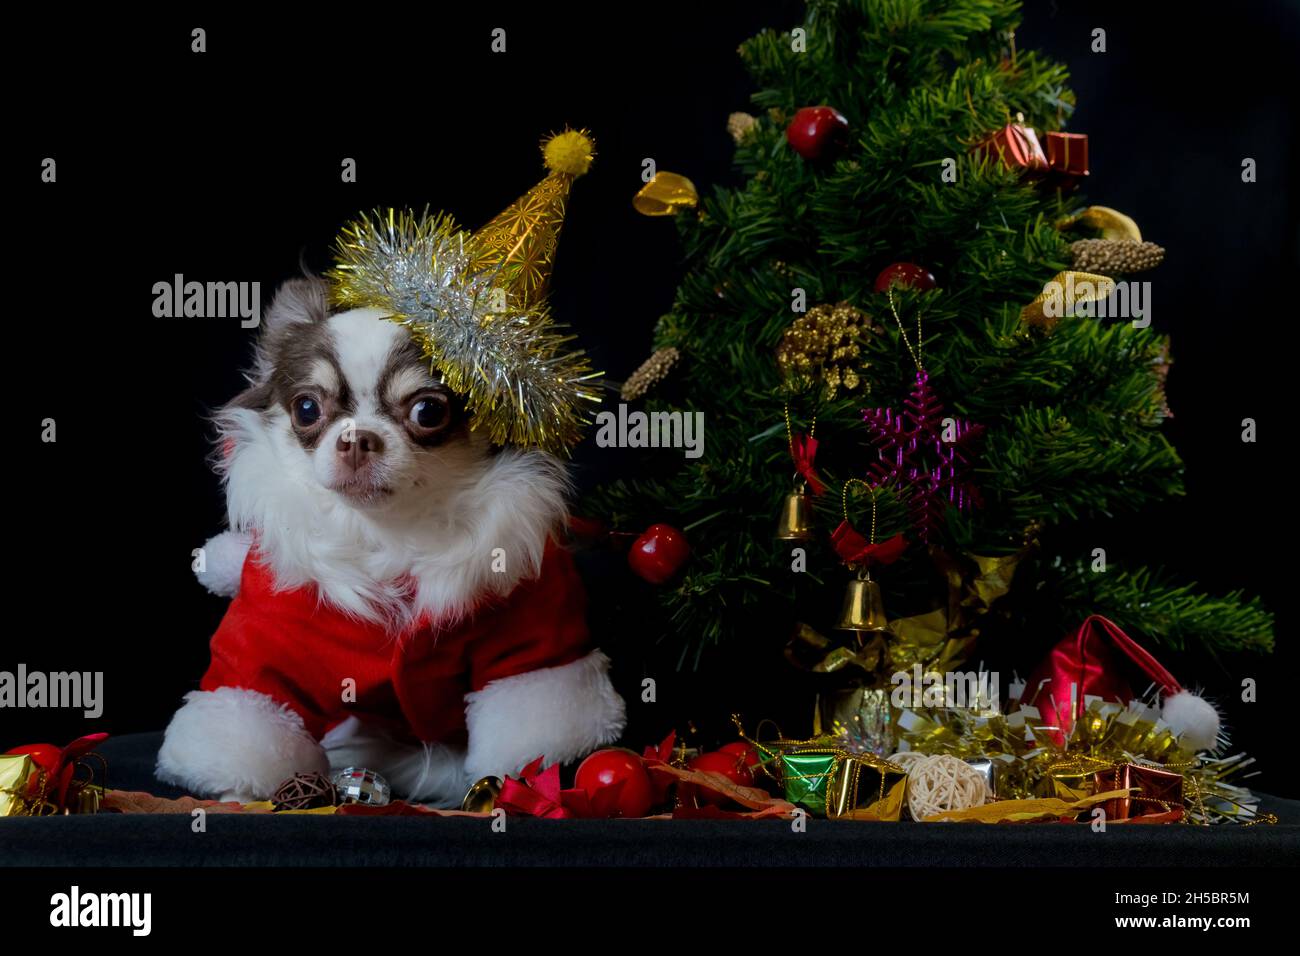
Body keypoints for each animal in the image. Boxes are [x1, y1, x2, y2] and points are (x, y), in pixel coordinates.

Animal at [157, 278, 624, 806]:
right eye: (306, 408)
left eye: (428, 410)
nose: (357, 437)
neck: (387, 532)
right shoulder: (269, 637)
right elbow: (249, 704)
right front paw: (236, 792)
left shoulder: (530, 634)